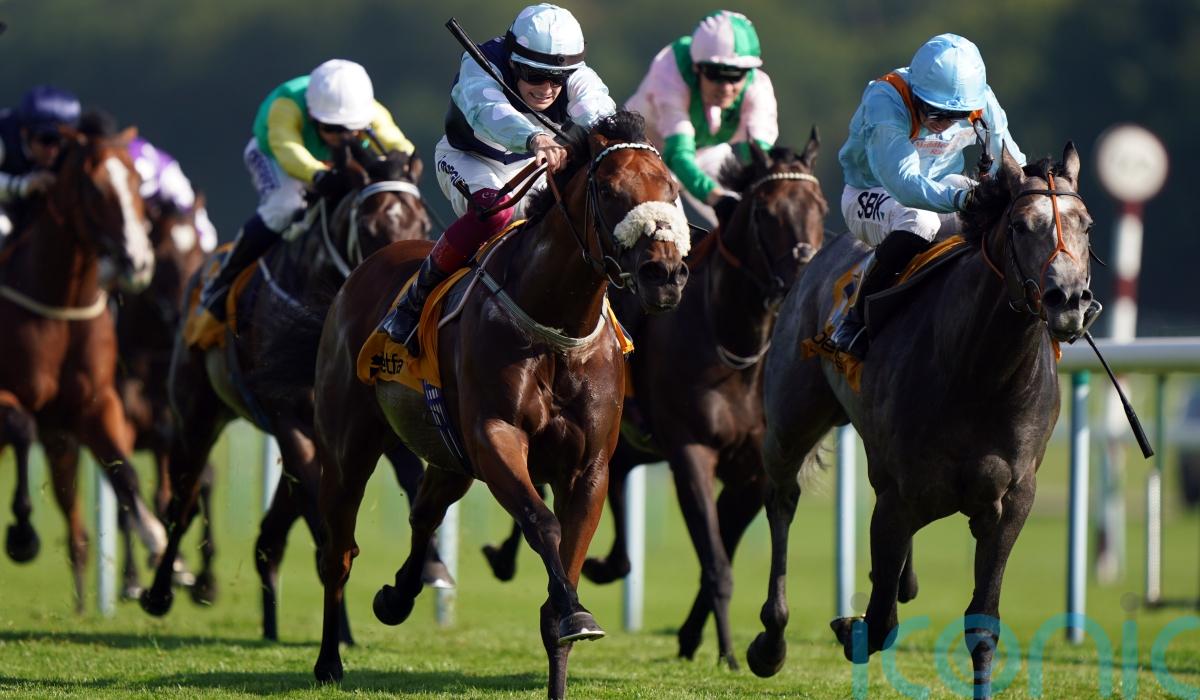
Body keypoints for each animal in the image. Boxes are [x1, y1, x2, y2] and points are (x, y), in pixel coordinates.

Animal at [0, 126, 165, 612]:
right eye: (93, 187)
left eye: (137, 181)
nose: (138, 262)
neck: (58, 304)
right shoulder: (7, 399)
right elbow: (20, 426)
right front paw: (22, 535)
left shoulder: (94, 405)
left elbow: (124, 469)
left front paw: (158, 542)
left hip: (62, 444)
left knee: (76, 528)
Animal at [138, 143, 442, 644]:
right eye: (369, 225)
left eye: (423, 225)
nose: (402, 289)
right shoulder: (290, 419)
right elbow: (326, 528)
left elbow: (412, 477)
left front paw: (432, 566)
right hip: (197, 415)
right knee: (184, 501)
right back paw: (161, 591)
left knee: (269, 535)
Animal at [310, 111, 690, 698]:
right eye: (609, 190)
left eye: (670, 188)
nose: (665, 274)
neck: (557, 329)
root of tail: (365, 268)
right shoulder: (496, 436)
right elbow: (544, 525)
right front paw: (572, 612)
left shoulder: (589, 466)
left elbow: (568, 561)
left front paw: (565, 637)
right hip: (347, 445)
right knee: (338, 551)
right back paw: (329, 660)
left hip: (451, 455)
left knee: (424, 513)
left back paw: (397, 596)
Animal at [481, 133, 829, 670]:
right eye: (765, 212)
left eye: (820, 207)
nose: (800, 282)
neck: (734, 346)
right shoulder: (690, 451)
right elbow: (717, 562)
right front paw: (728, 652)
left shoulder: (753, 468)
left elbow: (722, 553)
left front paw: (697, 638)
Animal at [744, 144, 1094, 700]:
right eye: (1020, 225)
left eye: (1088, 225)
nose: (1069, 299)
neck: (979, 374)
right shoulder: (898, 499)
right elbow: (879, 622)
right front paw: (847, 625)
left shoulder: (1011, 501)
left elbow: (982, 621)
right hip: (790, 418)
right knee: (782, 499)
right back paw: (771, 639)